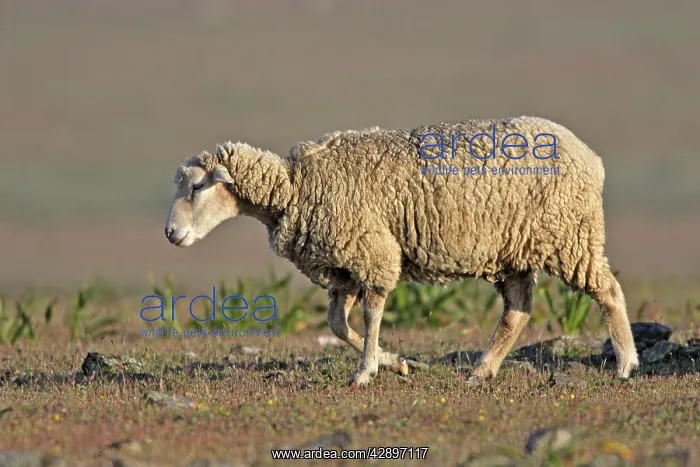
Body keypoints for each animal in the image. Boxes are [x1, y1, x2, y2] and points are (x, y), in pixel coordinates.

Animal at [164, 116, 639, 387]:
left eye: (198, 187)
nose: (169, 233)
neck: (294, 187)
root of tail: (589, 156)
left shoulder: (371, 253)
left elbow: (372, 315)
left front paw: (365, 372)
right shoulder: (343, 267)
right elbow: (337, 325)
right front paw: (395, 363)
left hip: (570, 234)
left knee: (609, 292)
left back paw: (625, 363)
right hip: (515, 249)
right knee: (517, 312)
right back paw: (481, 371)